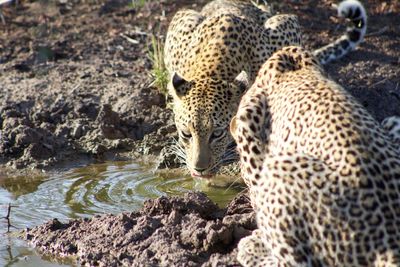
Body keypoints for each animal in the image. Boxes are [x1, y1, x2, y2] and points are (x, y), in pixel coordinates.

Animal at [230, 45, 400, 266]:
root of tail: (389, 246)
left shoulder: (248, 129)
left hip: (279, 171)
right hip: (393, 122)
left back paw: (251, 248)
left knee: (295, 262)